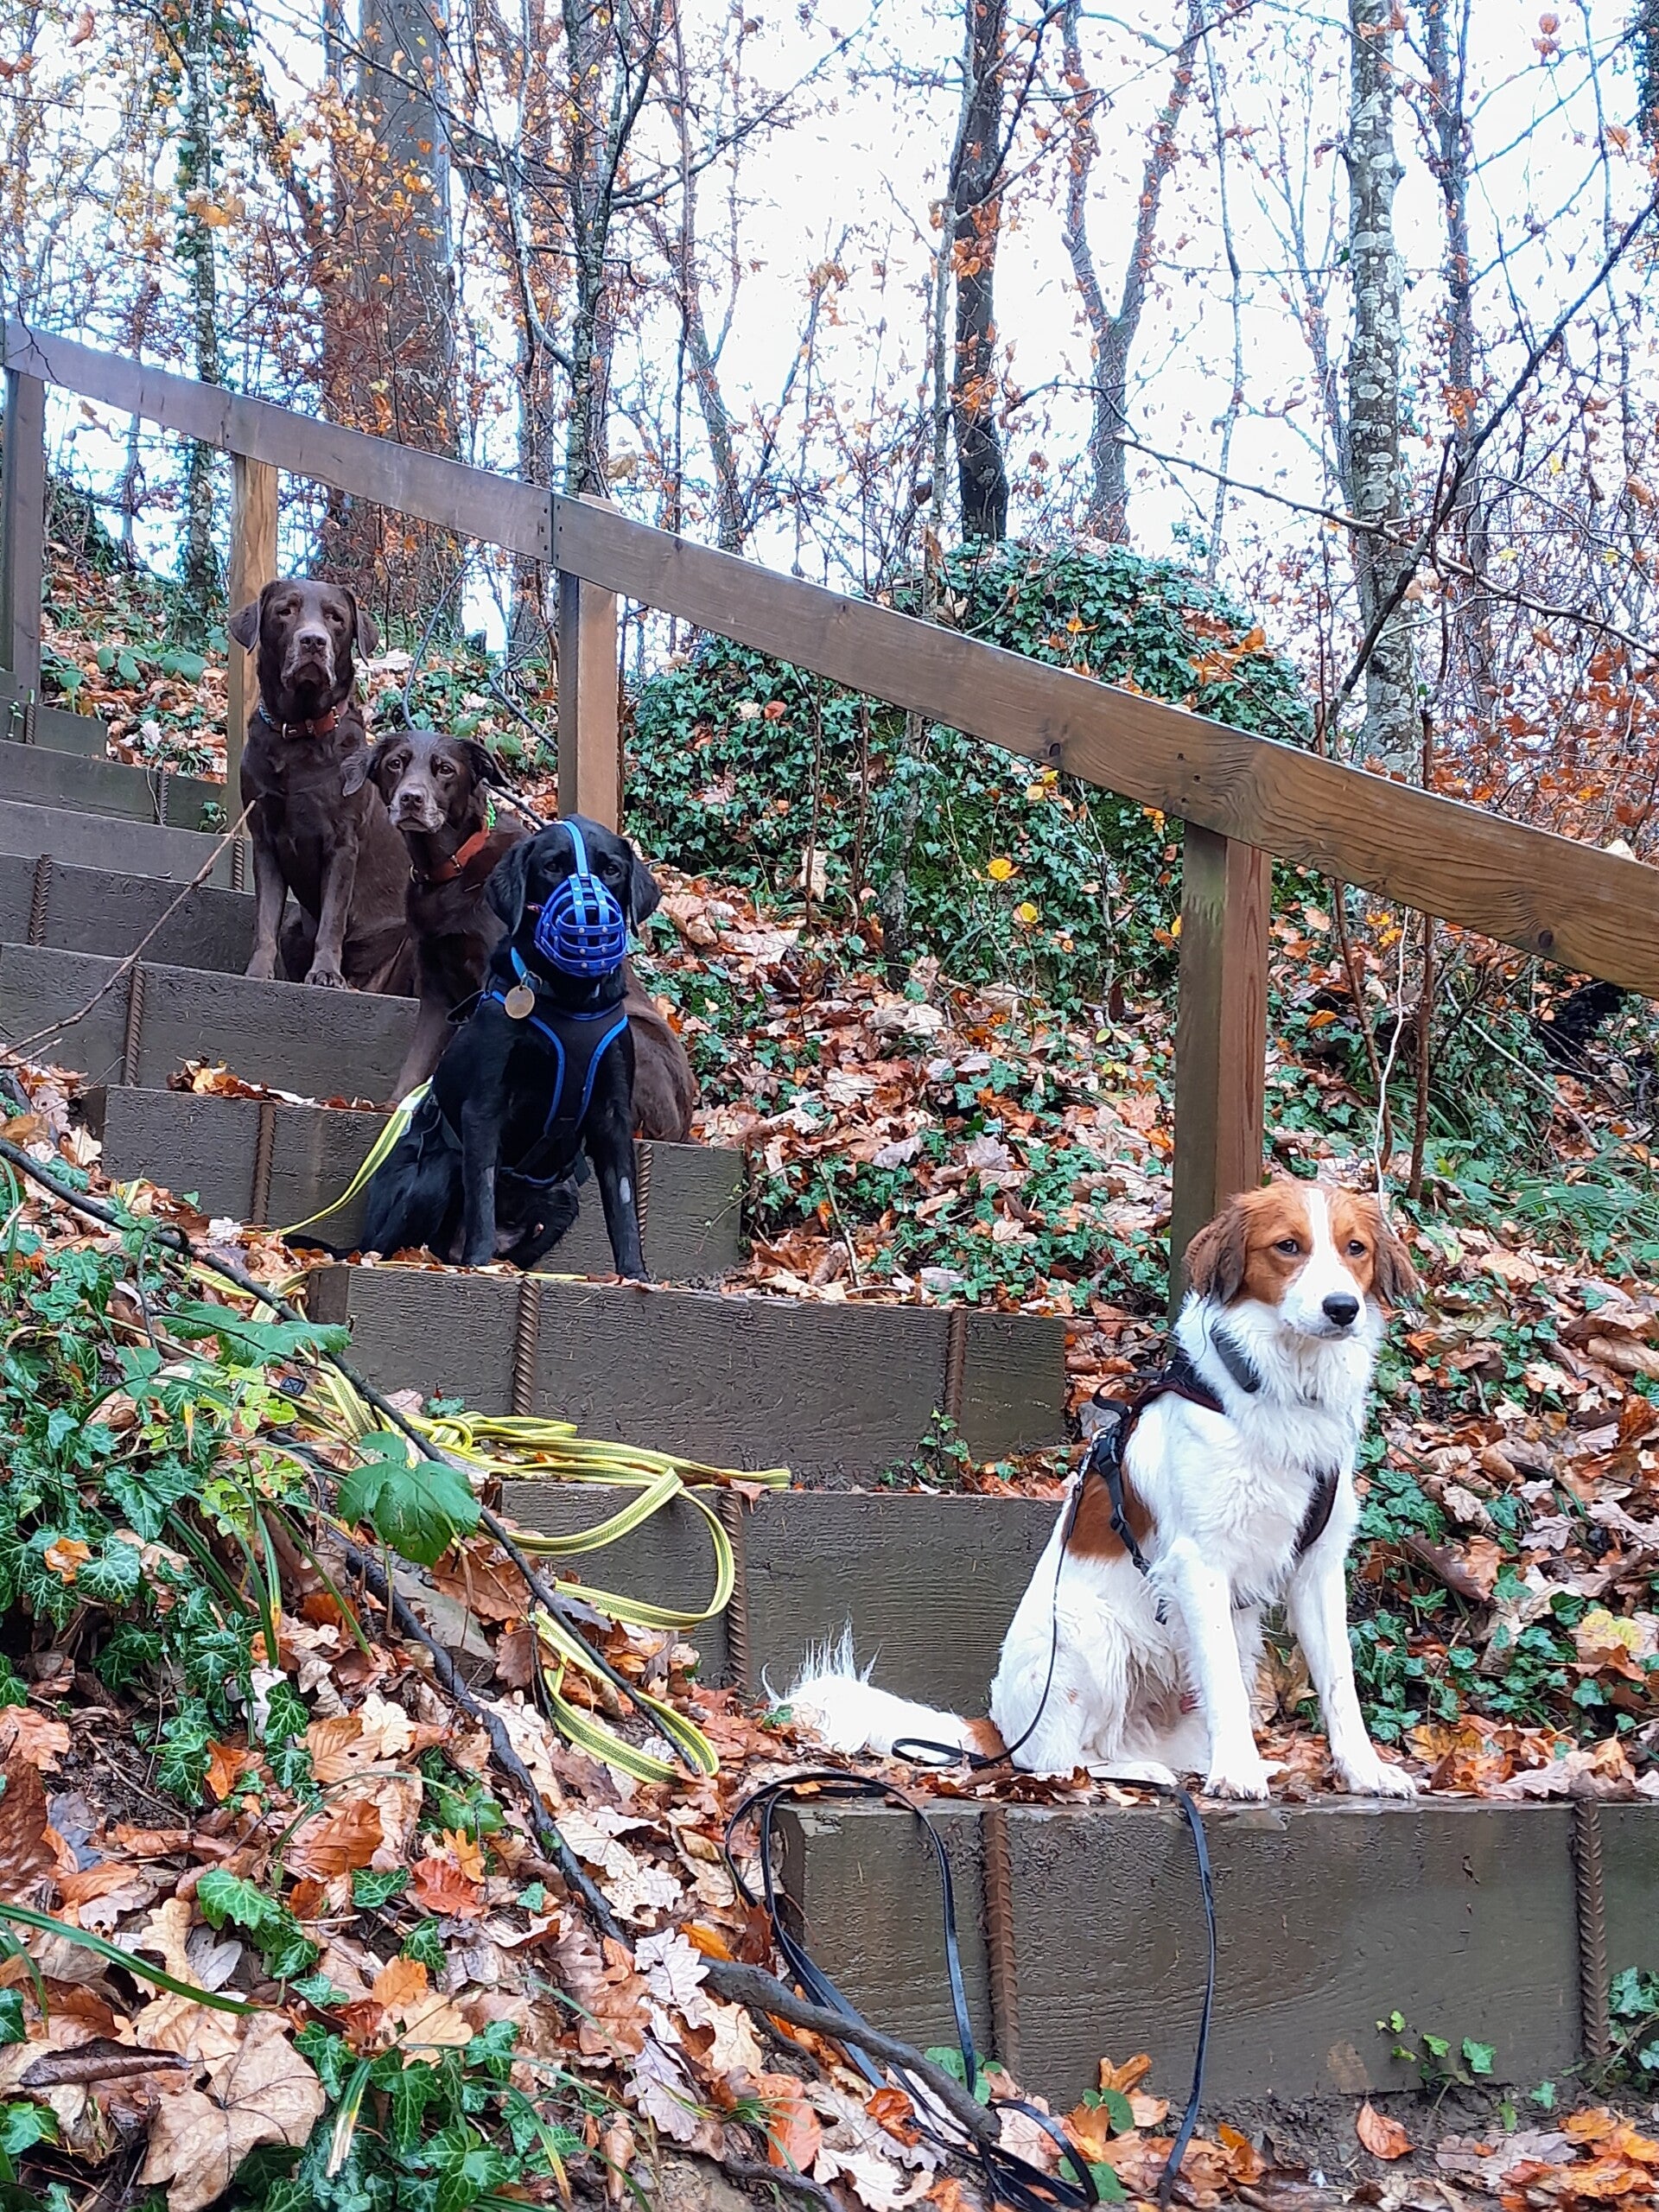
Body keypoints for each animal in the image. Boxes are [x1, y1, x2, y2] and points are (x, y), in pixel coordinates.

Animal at [230, 579, 414, 993]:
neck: (299, 736)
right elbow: (265, 918)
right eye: (285, 610)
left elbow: (333, 917)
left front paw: (327, 973)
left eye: (336, 617)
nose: (313, 641)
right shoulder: (264, 837)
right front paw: (258, 971)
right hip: (296, 923)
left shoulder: (342, 841)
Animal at [361, 817, 658, 1273]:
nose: (590, 914)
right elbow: (482, 1191)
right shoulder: (485, 1106)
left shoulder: (614, 1114)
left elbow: (623, 1201)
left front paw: (633, 1274)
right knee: (394, 1242)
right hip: (435, 1173)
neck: (567, 1001)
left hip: (562, 1199)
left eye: (611, 870)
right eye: (553, 866)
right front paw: (480, 1262)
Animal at [367, 726, 699, 1134]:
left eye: (445, 769)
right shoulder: (434, 984)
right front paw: (397, 1106)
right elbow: (419, 1058)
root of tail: (684, 1123)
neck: (452, 869)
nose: (411, 799)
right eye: (395, 763)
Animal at [785, 1181, 1421, 1801]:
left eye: (1355, 1249)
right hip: (1085, 1630)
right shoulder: (1200, 1563)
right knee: (1056, 1763)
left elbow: (1340, 1682)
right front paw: (1237, 1772)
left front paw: (1364, 1772)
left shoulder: (1319, 1566)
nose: (1342, 1308)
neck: (1279, 1390)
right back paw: (1142, 1775)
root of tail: (1002, 1728)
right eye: (1288, 1246)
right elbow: (1224, 1686)